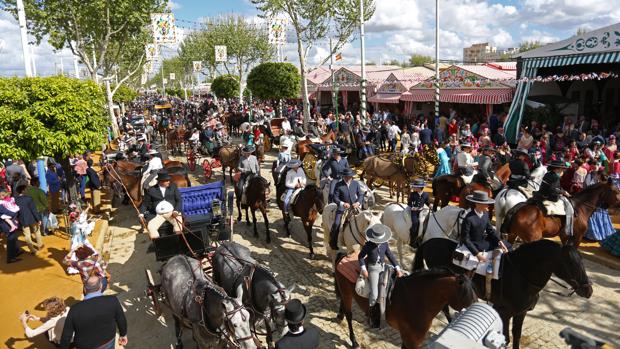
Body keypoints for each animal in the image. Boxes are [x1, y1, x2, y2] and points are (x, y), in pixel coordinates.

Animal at [334, 253, 474, 348]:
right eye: (466, 297)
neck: (417, 301)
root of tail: (344, 256)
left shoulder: (412, 339)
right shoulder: (411, 339)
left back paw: (340, 316)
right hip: (347, 293)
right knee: (349, 315)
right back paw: (353, 341)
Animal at [412, 238, 592, 348]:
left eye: (582, 261)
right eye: (570, 262)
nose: (588, 290)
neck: (521, 275)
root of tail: (428, 242)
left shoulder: (521, 313)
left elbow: (517, 336)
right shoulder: (505, 313)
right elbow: (507, 337)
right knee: (444, 307)